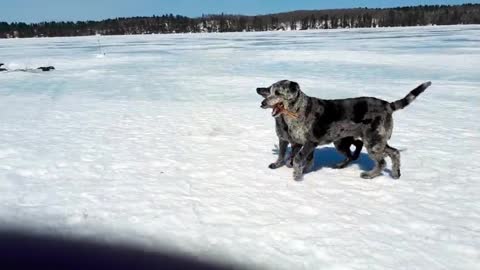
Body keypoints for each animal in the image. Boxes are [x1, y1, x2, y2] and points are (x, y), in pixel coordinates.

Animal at [256, 80, 434, 181]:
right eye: (269, 91)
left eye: (277, 92)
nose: (262, 103)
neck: (298, 110)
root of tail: (388, 105)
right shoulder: (300, 143)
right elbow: (298, 159)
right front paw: (303, 171)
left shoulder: (309, 142)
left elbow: (299, 159)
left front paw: (297, 177)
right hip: (372, 140)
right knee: (394, 152)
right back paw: (395, 174)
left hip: (372, 141)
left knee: (382, 161)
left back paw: (369, 175)